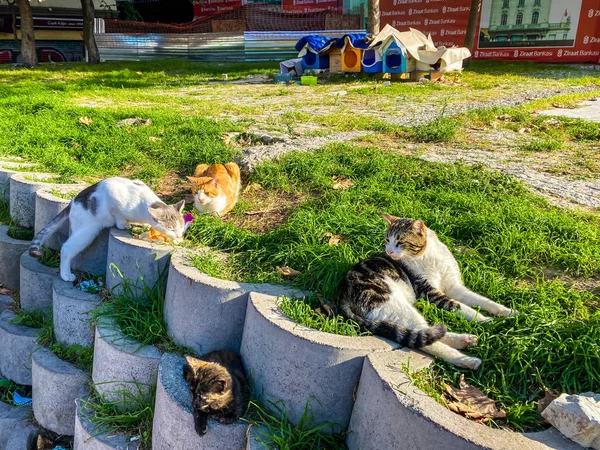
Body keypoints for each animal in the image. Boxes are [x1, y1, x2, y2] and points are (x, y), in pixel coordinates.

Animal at [28, 177, 186, 280]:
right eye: (171, 228)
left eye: (181, 226)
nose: (178, 236)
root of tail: (72, 202)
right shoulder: (113, 194)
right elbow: (118, 214)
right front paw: (123, 224)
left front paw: (145, 225)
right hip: (86, 232)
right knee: (66, 248)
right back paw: (66, 275)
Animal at [338, 215, 516, 370]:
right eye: (387, 241)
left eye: (400, 242)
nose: (389, 252)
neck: (429, 256)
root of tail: (343, 293)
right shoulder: (430, 292)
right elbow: (462, 308)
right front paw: (487, 321)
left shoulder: (455, 287)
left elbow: (482, 301)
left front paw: (508, 312)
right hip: (393, 304)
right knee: (423, 337)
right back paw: (466, 359)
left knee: (426, 331)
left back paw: (464, 340)